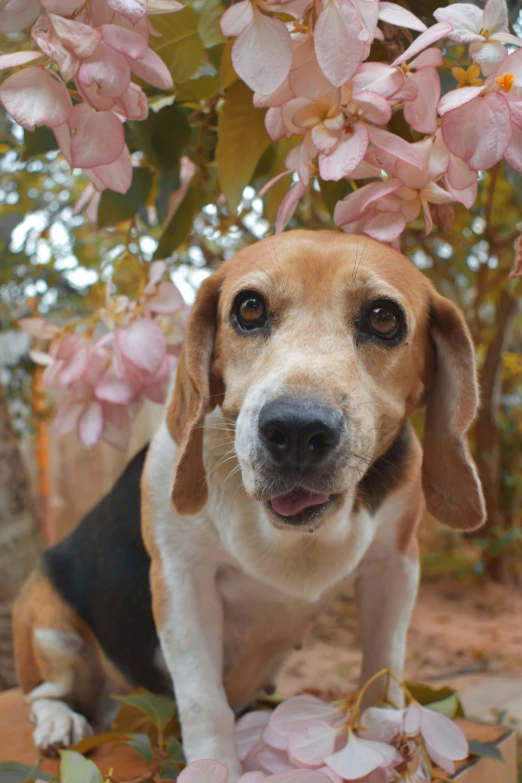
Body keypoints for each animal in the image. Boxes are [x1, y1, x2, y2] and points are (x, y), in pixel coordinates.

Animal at [12, 231, 484, 776]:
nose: (296, 429)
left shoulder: (395, 567)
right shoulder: (181, 582)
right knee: (45, 693)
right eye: (250, 308)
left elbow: (383, 673)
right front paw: (213, 766)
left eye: (384, 318)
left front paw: (395, 749)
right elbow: (204, 701)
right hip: (49, 625)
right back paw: (59, 723)